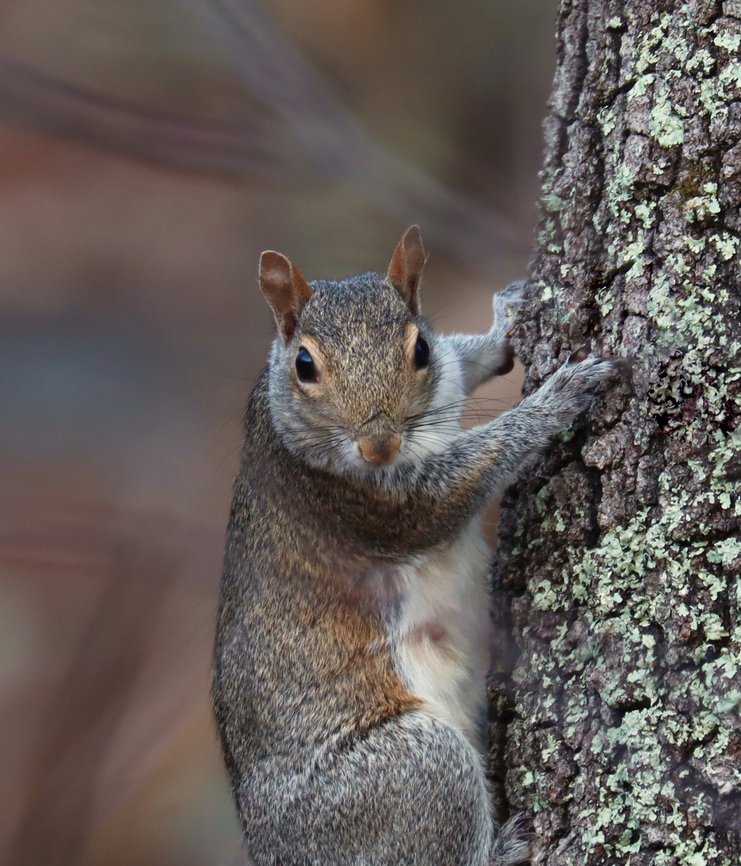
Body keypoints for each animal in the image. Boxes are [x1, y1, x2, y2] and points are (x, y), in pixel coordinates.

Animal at [213, 226, 621, 865]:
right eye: (305, 365)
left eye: (420, 350)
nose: (378, 446)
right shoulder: (365, 505)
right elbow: (457, 486)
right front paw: (557, 397)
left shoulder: (445, 380)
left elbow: (466, 361)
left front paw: (508, 319)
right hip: (414, 773)